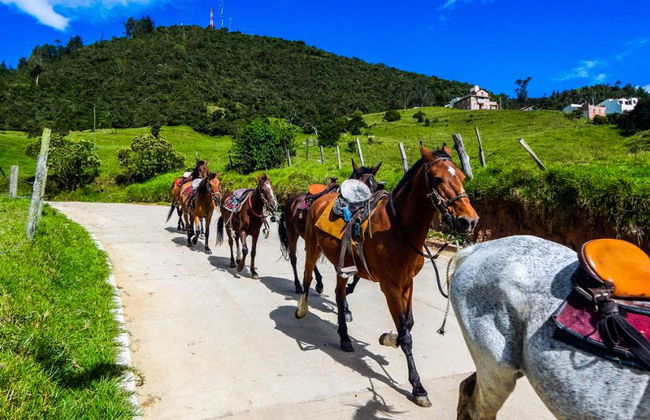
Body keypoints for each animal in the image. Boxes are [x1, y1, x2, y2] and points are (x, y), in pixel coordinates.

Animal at [278, 159, 382, 295]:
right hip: (292, 232)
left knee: (310, 255)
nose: (367, 212)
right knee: (294, 257)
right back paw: (299, 285)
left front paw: (349, 288)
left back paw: (319, 283)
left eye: (375, 187)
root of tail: (290, 200)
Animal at [296, 144, 478, 407]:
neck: (399, 231)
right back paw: (301, 309)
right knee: (308, 276)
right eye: (436, 179)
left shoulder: (407, 283)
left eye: (463, 177)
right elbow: (406, 335)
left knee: (340, 295)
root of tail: (320, 197)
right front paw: (417, 387)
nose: (469, 221)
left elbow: (408, 325)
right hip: (312, 246)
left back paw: (345, 337)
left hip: (342, 265)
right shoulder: (390, 287)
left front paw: (388, 338)